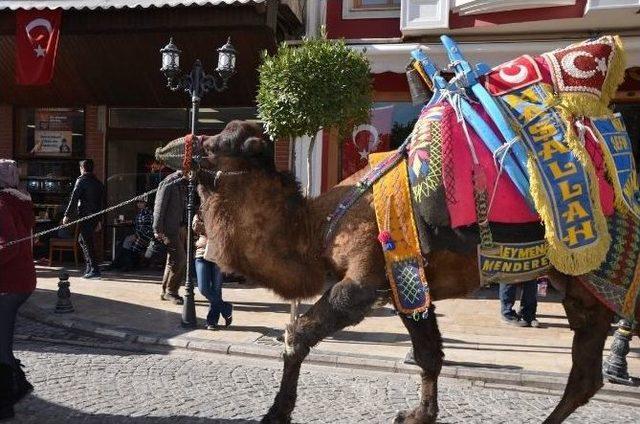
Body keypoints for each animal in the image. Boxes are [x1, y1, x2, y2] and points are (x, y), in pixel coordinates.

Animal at [159, 120, 620, 424]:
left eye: (217, 143)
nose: (170, 148)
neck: (316, 226)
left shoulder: (366, 276)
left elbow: (298, 334)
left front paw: (275, 413)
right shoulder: (407, 284)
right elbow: (429, 354)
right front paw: (418, 414)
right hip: (582, 287)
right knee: (585, 373)